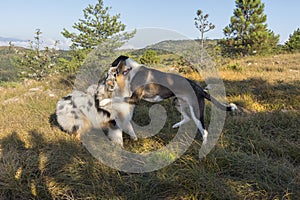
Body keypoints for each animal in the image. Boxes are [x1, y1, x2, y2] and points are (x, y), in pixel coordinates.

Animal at [99, 55, 238, 145]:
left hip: (196, 111)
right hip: (177, 102)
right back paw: (176, 125)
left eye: (114, 64)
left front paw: (103, 102)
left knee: (204, 132)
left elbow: (117, 98)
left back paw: (203, 148)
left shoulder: (135, 98)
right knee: (187, 117)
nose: (108, 70)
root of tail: (199, 88)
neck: (132, 70)